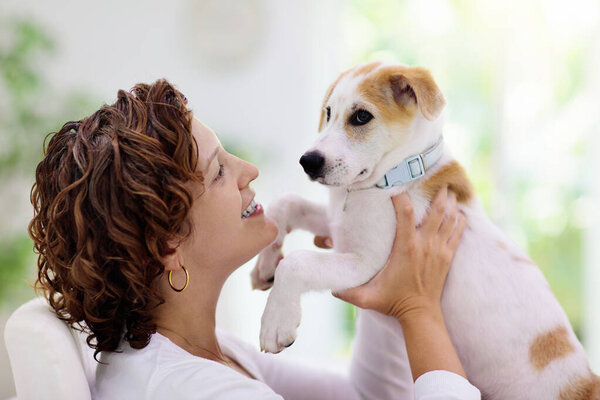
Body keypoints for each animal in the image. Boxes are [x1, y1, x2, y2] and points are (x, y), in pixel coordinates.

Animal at [250, 61, 600, 398]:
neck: (393, 177)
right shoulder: (337, 226)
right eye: (328, 112)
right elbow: (287, 204)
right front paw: (265, 266)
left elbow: (298, 263)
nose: (307, 162)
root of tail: (586, 383)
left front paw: (275, 323)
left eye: (361, 116)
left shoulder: (369, 264)